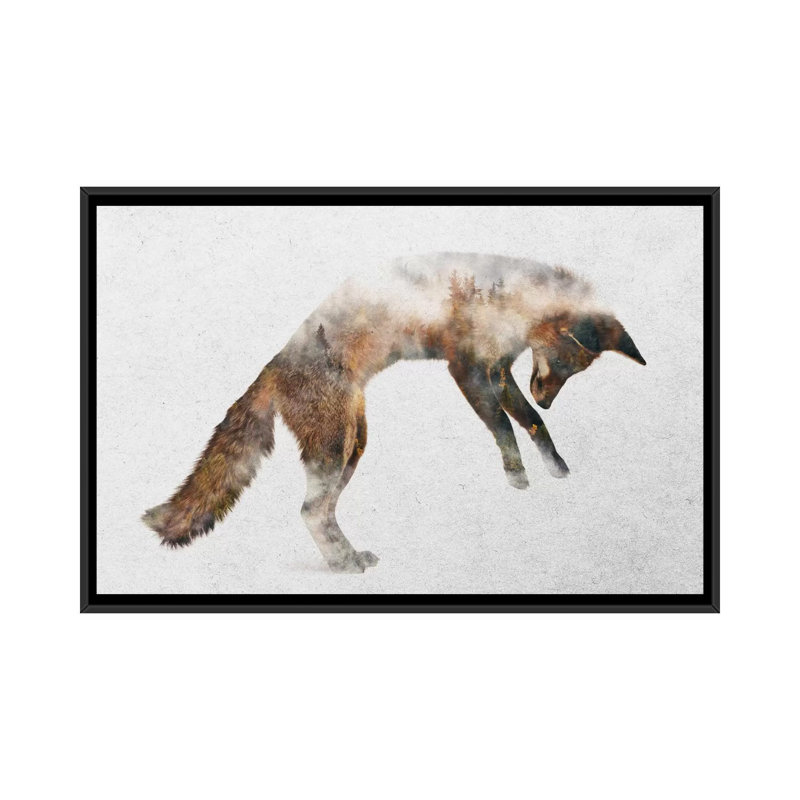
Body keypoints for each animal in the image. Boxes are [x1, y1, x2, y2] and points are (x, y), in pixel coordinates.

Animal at [143, 252, 645, 573]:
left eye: (574, 371)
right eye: (559, 363)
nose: (546, 397)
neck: (506, 299)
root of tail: (275, 364)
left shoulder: (499, 370)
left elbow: (534, 425)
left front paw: (556, 467)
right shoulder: (466, 367)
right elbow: (504, 426)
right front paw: (517, 474)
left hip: (355, 445)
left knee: (321, 510)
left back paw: (344, 558)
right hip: (336, 444)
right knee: (310, 511)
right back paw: (343, 564)